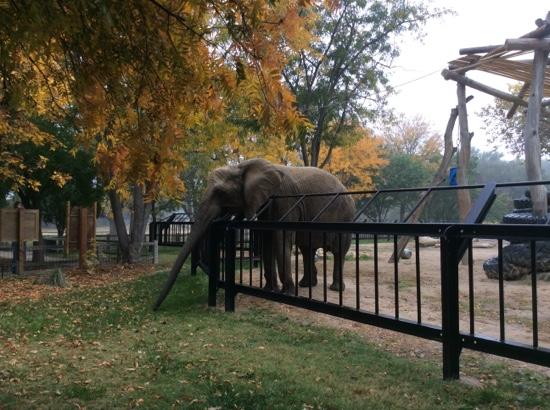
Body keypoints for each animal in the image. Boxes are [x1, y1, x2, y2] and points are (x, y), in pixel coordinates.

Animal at [153, 159, 356, 310]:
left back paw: (335, 288)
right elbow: (267, 239)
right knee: (307, 249)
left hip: (346, 215)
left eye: (220, 192)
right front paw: (270, 290)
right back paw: (306, 285)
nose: (154, 308)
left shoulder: (285, 200)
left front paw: (287, 293)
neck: (243, 167)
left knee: (338, 251)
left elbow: (281, 239)